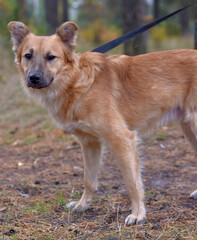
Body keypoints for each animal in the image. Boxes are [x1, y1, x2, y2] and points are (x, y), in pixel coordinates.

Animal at [7, 21, 197, 225]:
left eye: (51, 57)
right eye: (28, 55)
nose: (33, 78)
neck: (78, 83)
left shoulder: (122, 139)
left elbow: (132, 182)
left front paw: (138, 214)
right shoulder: (89, 143)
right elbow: (88, 179)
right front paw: (83, 205)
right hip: (189, 130)